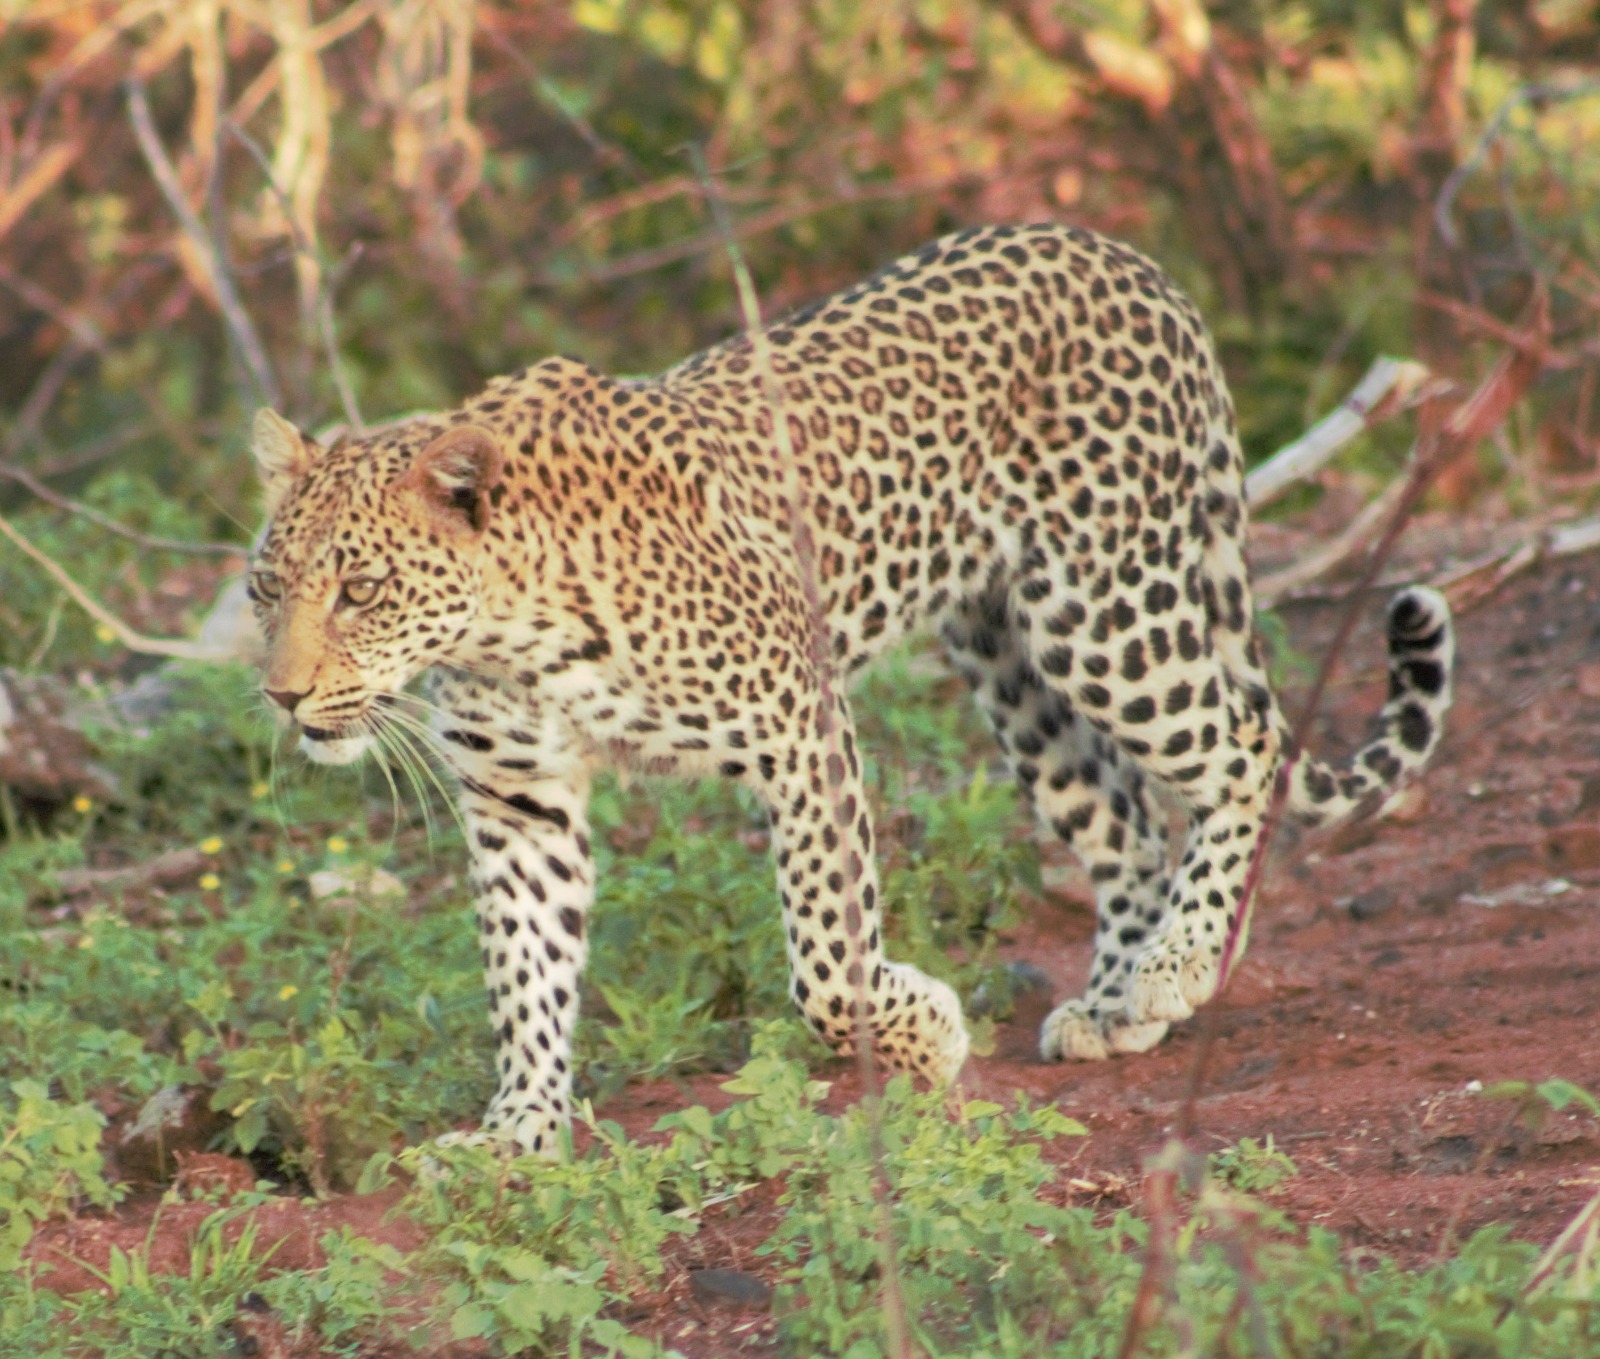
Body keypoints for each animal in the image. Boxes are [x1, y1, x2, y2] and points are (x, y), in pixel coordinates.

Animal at [247, 222, 1454, 1156]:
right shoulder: (519, 803)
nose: (283, 698)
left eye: (359, 590)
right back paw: (1114, 1004)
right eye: (266, 588)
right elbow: (525, 972)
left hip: (1106, 612)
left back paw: (1181, 960)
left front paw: (922, 1036)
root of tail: (1129, 258)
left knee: (1247, 745)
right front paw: (518, 1133)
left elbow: (826, 961)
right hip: (1009, 663)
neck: (507, 629)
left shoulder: (797, 718)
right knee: (1119, 822)